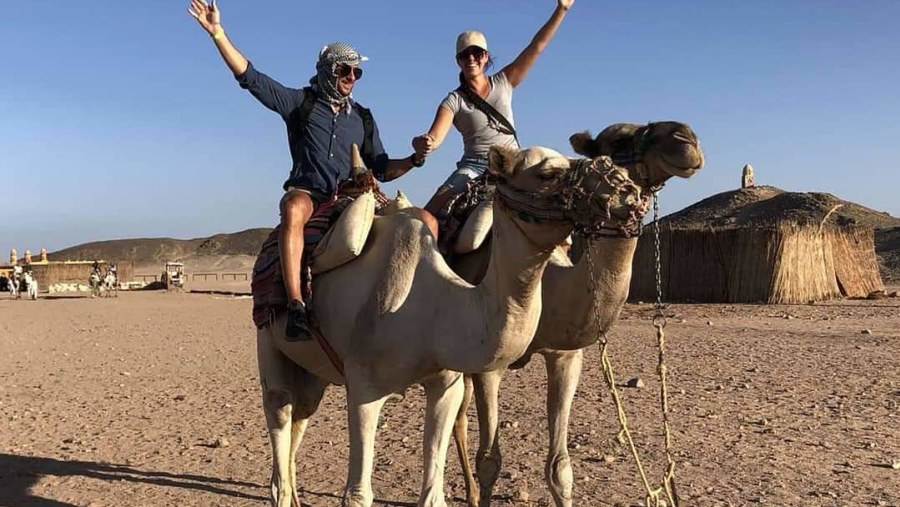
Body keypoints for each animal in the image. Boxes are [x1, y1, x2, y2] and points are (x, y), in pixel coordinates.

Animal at [253, 144, 648, 507]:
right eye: (547, 173)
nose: (626, 189)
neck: (430, 307)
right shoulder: (364, 387)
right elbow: (357, 495)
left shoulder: (447, 383)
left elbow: (435, 494)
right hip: (269, 339)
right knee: (280, 409)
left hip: (315, 369)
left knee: (302, 414)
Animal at [450, 121, 704, 506]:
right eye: (618, 139)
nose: (686, 139)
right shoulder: (488, 365)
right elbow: (490, 460)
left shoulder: (565, 357)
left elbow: (560, 468)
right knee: (458, 418)